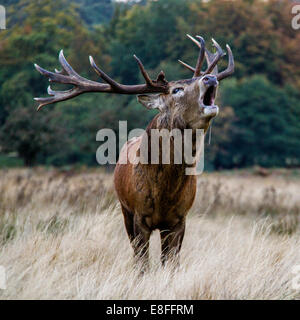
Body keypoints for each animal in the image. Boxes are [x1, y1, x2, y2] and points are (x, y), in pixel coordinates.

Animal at [34, 34, 234, 270]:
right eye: (176, 90)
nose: (210, 78)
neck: (165, 193)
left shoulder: (180, 218)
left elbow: (170, 263)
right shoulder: (139, 215)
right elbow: (142, 264)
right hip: (124, 210)